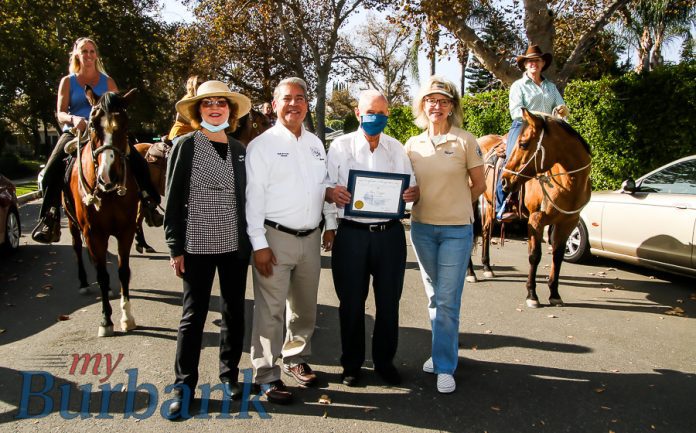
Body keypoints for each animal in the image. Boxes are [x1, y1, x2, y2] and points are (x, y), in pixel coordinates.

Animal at [64, 86, 139, 337]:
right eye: (93, 124)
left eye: (125, 124)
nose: (109, 176)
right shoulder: (93, 233)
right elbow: (103, 275)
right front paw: (106, 320)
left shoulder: (126, 230)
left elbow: (123, 271)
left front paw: (127, 317)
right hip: (73, 225)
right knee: (78, 249)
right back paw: (84, 283)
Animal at [495, 108, 592, 308]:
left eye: (524, 144)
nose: (505, 181)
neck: (568, 184)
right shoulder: (536, 219)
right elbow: (535, 256)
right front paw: (532, 294)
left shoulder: (568, 222)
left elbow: (557, 256)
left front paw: (554, 293)